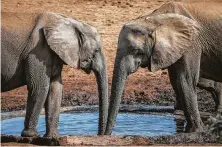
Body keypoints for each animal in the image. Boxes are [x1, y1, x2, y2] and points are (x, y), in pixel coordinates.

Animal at [105, 1, 222, 135]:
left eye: (136, 51)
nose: (104, 134)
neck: (153, 20)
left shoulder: (191, 44)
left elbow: (185, 81)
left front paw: (195, 132)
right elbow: (176, 82)